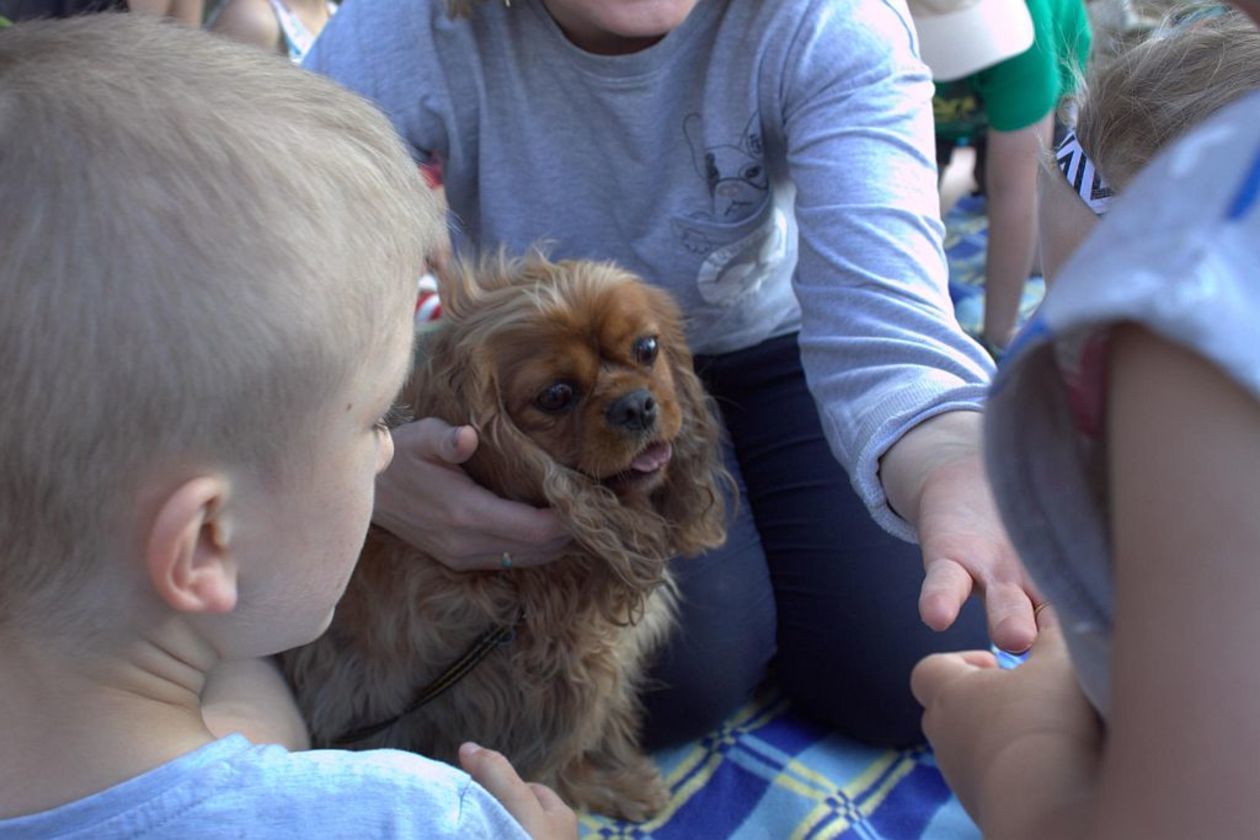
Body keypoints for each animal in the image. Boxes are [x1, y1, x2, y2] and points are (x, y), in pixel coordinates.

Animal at [275, 254, 730, 821]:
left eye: (647, 348)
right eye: (555, 396)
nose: (636, 405)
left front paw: (619, 777)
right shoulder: (531, 685)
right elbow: (559, 747)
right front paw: (604, 787)